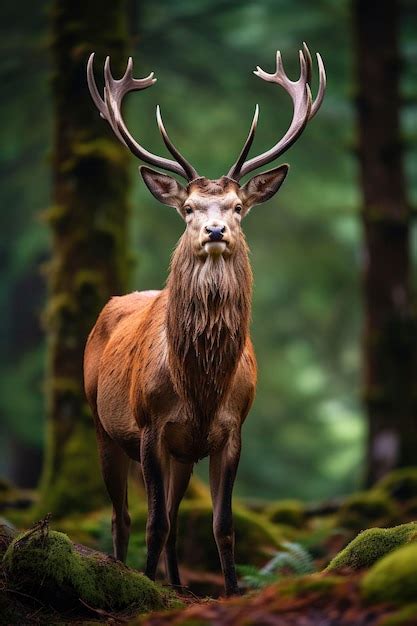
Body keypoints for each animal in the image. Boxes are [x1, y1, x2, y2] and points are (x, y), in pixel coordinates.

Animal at [83, 44, 324, 596]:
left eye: (237, 206)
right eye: (189, 207)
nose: (215, 231)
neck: (201, 384)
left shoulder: (231, 430)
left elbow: (221, 524)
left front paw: (232, 591)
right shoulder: (149, 426)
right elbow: (153, 523)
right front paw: (147, 589)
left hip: (182, 454)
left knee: (174, 522)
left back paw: (177, 584)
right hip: (102, 424)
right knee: (123, 517)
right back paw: (129, 572)